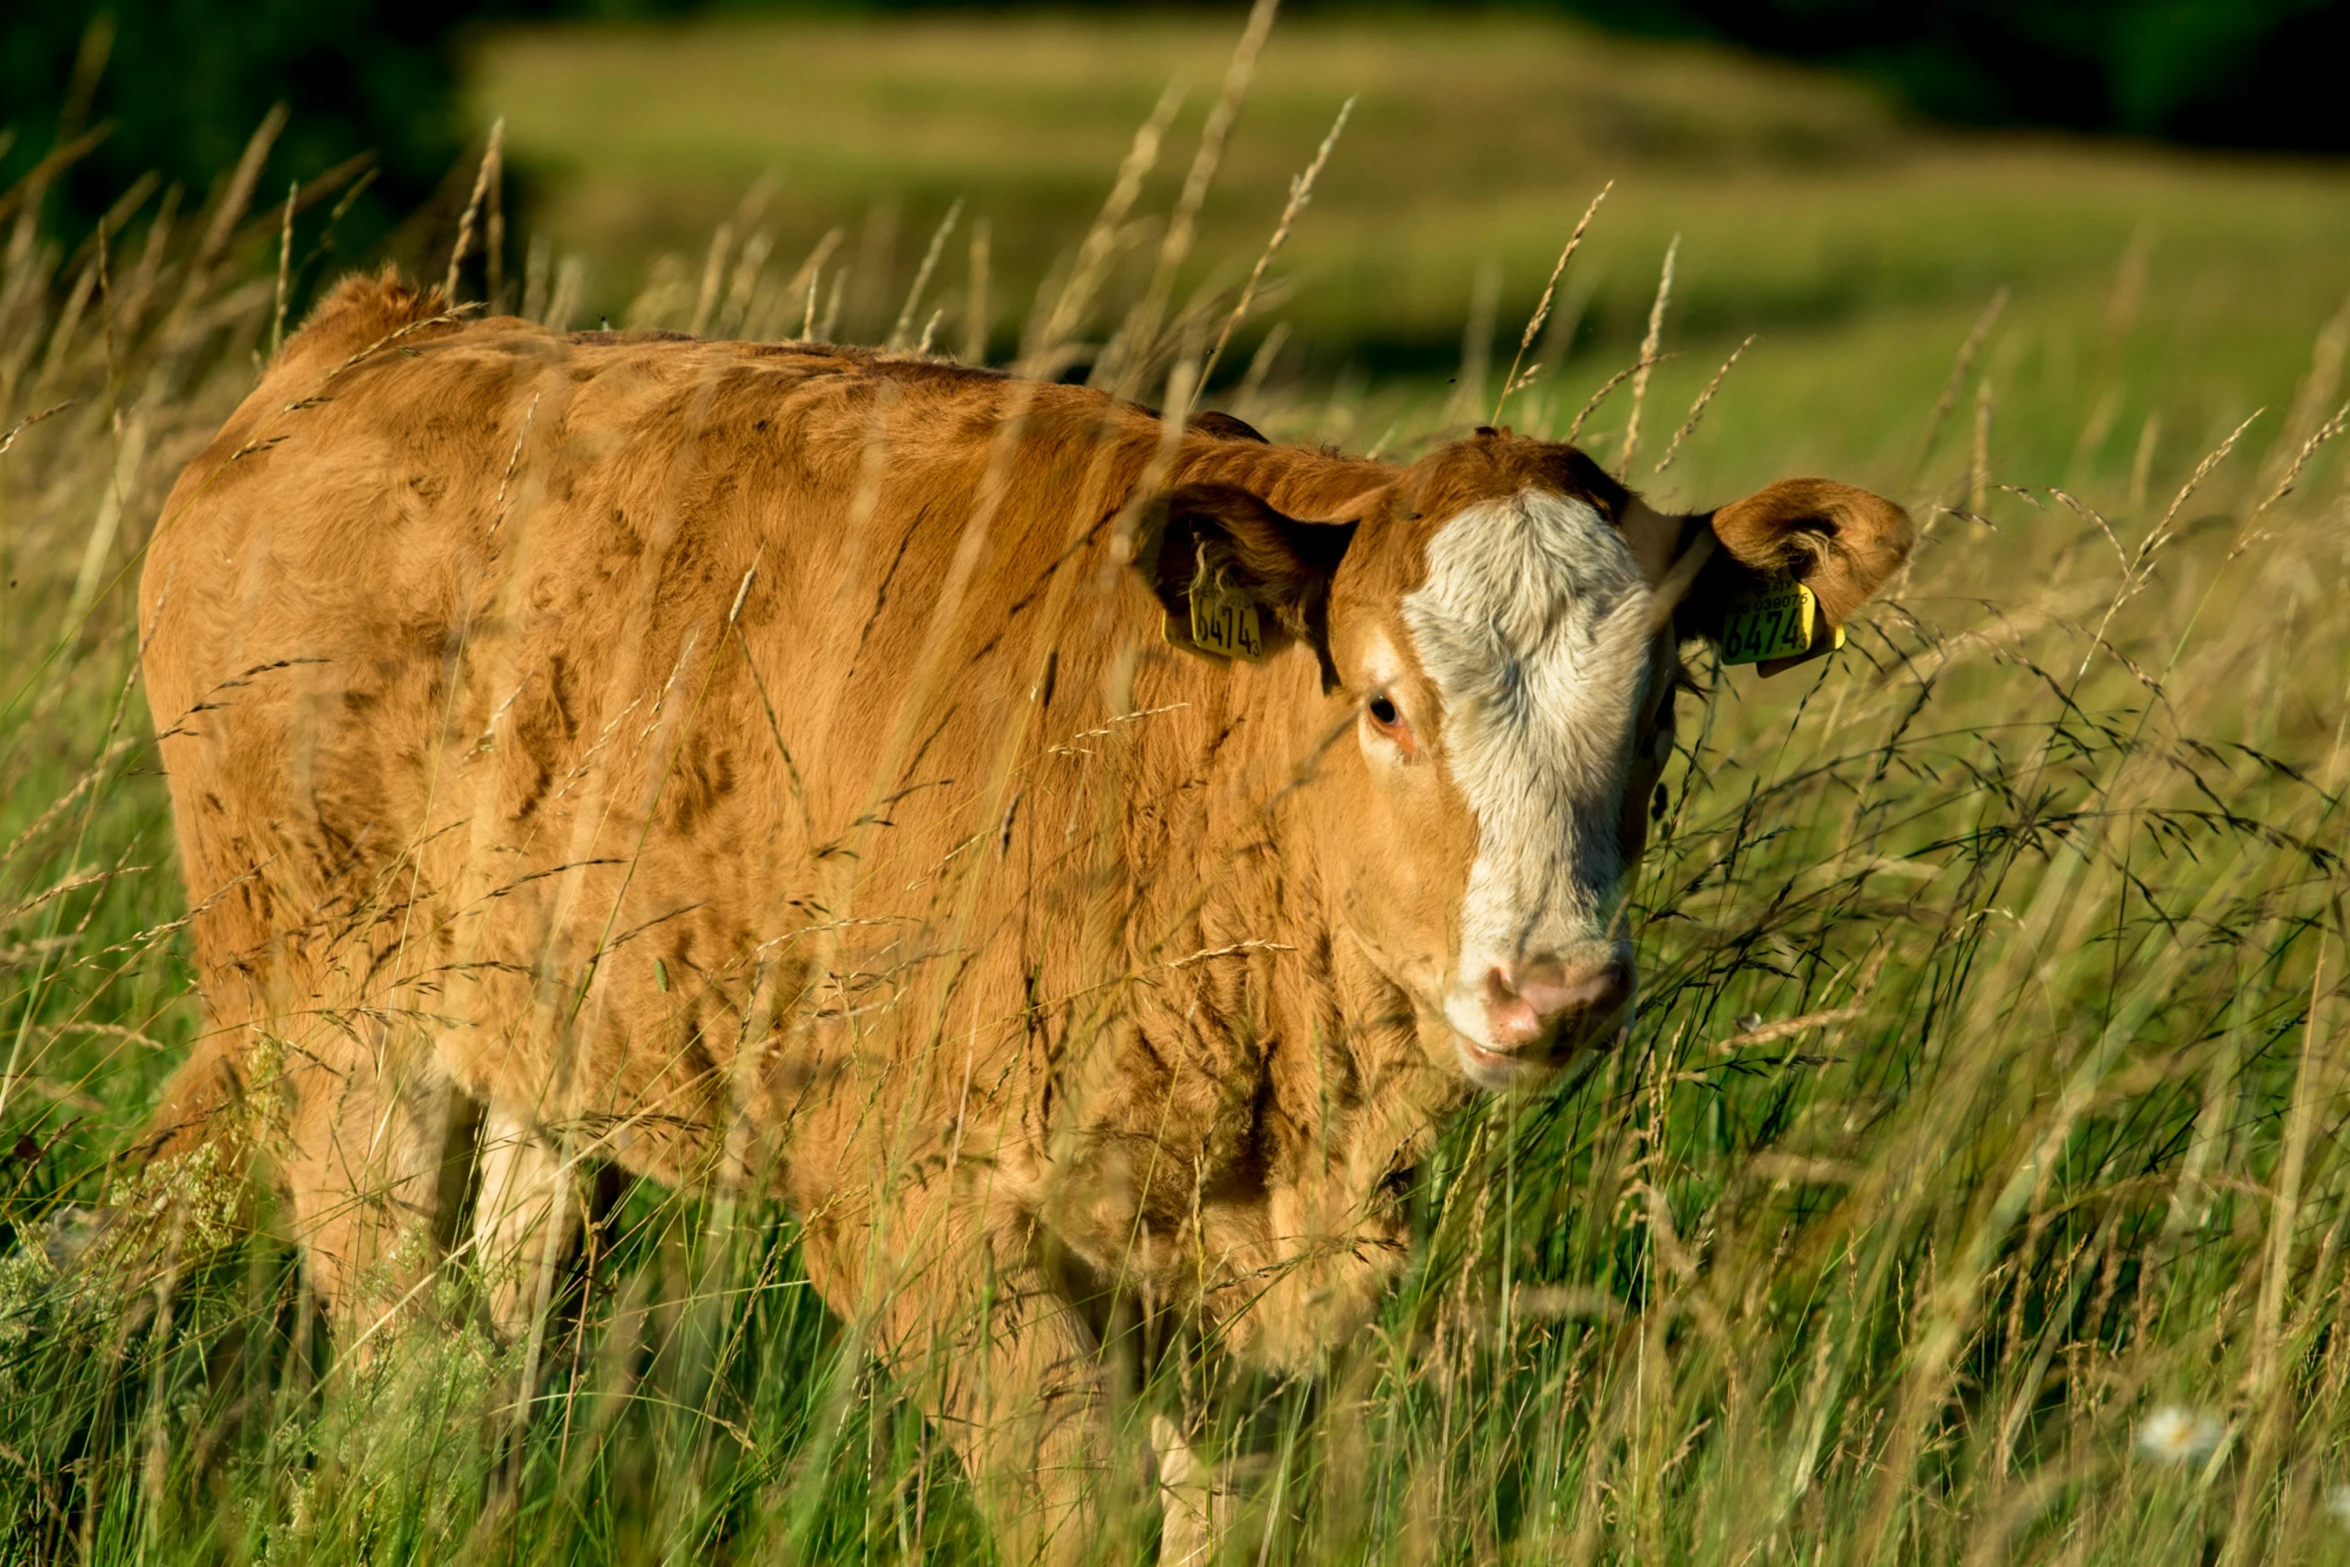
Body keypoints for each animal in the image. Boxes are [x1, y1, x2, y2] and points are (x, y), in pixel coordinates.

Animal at [133, 272, 1908, 1567]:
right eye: (1384, 704)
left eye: (1659, 710)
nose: (1553, 988)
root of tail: (387, 330)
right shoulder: (916, 1199)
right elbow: (1081, 1502)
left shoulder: (1239, 1264)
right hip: (336, 1012)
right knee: (403, 1349)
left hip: (551, 1032)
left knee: (499, 1341)